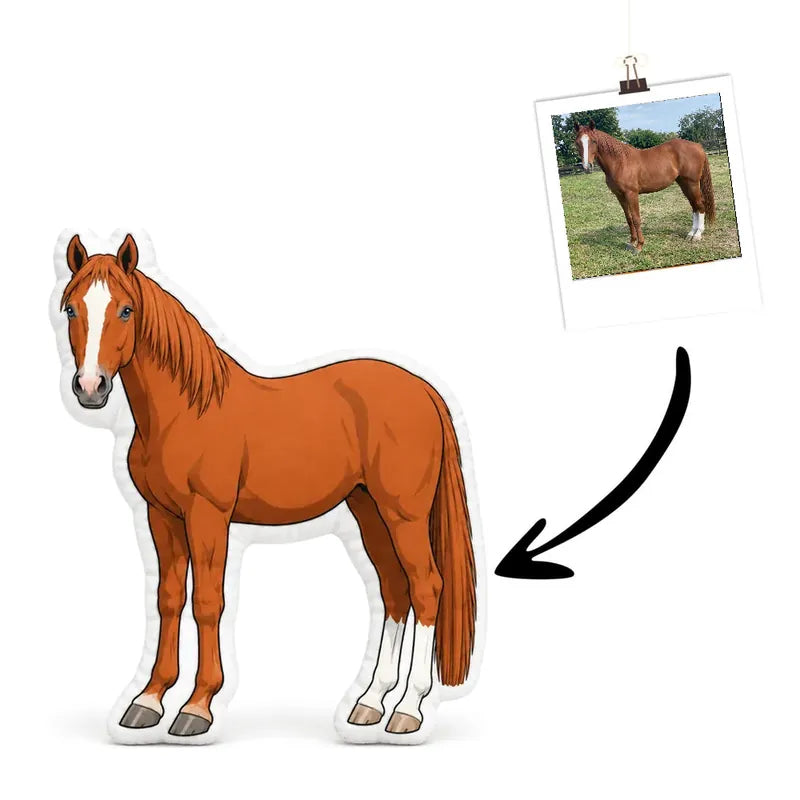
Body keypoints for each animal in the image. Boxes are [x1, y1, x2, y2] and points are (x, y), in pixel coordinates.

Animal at [57, 232, 480, 742]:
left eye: (125, 310)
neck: (186, 409)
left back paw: (408, 710)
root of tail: (424, 390)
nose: (90, 387)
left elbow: (207, 602)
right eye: (71, 309)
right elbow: (168, 600)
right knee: (396, 592)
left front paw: (197, 707)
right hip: (369, 511)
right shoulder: (162, 516)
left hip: (405, 515)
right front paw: (148, 700)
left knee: (427, 588)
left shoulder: (208, 515)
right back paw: (369, 703)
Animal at [573, 120, 716, 252]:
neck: (620, 162)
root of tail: (698, 146)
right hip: (684, 183)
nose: (587, 167)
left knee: (700, 205)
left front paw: (639, 245)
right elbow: (628, 218)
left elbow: (636, 219)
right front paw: (631, 242)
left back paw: (697, 235)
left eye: (593, 141)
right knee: (694, 206)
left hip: (692, 183)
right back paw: (691, 233)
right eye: (577, 142)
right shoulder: (620, 195)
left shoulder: (631, 194)